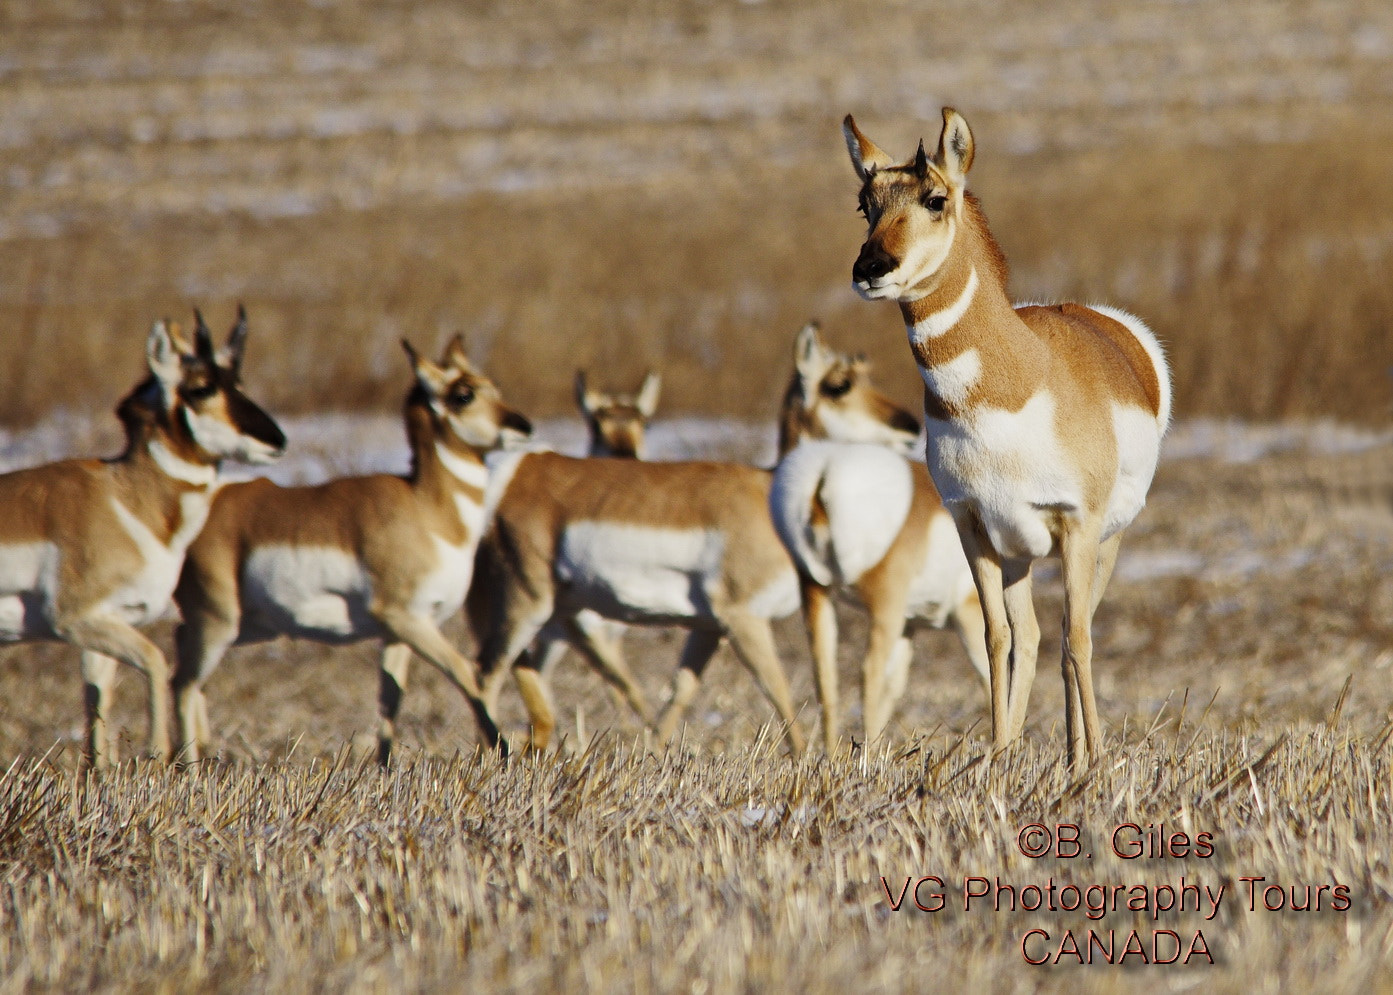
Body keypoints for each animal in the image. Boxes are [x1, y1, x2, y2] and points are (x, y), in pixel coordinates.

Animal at [0, 309, 284, 769]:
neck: (127, 501)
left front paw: (102, 774)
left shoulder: (106, 625)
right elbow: (156, 659)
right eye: (201, 387)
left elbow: (97, 701)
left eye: (237, 382)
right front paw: (158, 753)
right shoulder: (74, 620)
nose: (277, 440)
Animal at [168, 337, 526, 763]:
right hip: (218, 622)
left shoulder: (398, 634)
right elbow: (466, 673)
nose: (523, 425)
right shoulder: (406, 618)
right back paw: (187, 764)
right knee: (182, 682)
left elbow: (391, 699)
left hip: (248, 626)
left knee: (181, 657)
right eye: (463, 394)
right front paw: (503, 749)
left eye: (494, 386)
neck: (427, 508)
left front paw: (385, 766)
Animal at [470, 321, 936, 746]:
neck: (766, 494)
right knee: (484, 675)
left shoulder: (709, 627)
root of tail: (521, 471)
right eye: (839, 385)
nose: (911, 427)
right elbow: (782, 695)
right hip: (527, 604)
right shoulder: (742, 618)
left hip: (557, 615)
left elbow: (679, 694)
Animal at [774, 321, 991, 746]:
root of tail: (825, 473)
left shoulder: (907, 624)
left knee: (828, 676)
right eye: (840, 384)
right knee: (867, 674)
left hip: (823, 597)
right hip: (890, 606)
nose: (909, 425)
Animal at [841, 106, 1170, 758]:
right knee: (1034, 633)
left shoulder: (1076, 523)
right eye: (866, 204)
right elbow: (999, 638)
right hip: (1020, 549)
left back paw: (1078, 754)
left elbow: (1080, 639)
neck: (1014, 382)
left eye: (935, 198)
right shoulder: (974, 524)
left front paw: (1094, 761)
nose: (870, 269)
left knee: (1072, 631)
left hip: (1106, 539)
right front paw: (997, 756)